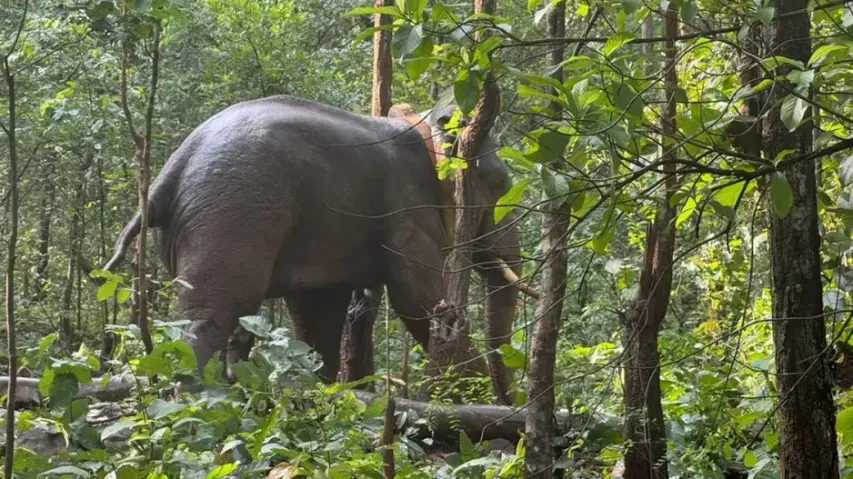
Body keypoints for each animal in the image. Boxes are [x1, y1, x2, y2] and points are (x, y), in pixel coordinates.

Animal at [104, 95, 530, 403]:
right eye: (497, 185)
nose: (510, 405)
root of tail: (166, 174)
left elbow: (318, 311)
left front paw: (325, 389)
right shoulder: (407, 214)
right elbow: (418, 300)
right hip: (230, 214)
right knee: (212, 317)